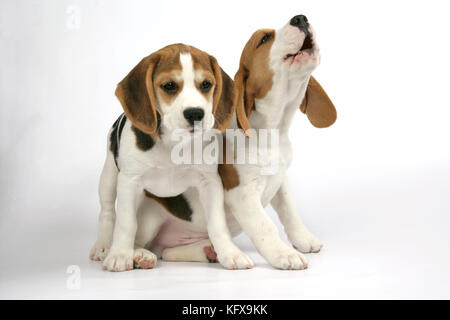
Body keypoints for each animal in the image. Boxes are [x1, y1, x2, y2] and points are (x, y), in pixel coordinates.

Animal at [89, 43, 253, 272]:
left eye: (206, 84)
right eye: (169, 86)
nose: (195, 114)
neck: (175, 142)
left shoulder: (209, 182)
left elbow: (217, 223)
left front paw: (230, 253)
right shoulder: (129, 181)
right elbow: (126, 222)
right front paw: (120, 254)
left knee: (165, 250)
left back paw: (203, 251)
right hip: (110, 177)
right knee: (108, 212)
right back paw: (114, 248)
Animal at [134, 15, 338, 270]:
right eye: (264, 38)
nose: (300, 18)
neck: (272, 131)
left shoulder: (280, 181)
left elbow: (290, 212)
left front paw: (304, 239)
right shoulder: (242, 193)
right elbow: (266, 226)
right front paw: (284, 254)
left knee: (169, 252)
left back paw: (208, 251)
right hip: (148, 219)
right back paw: (138, 255)